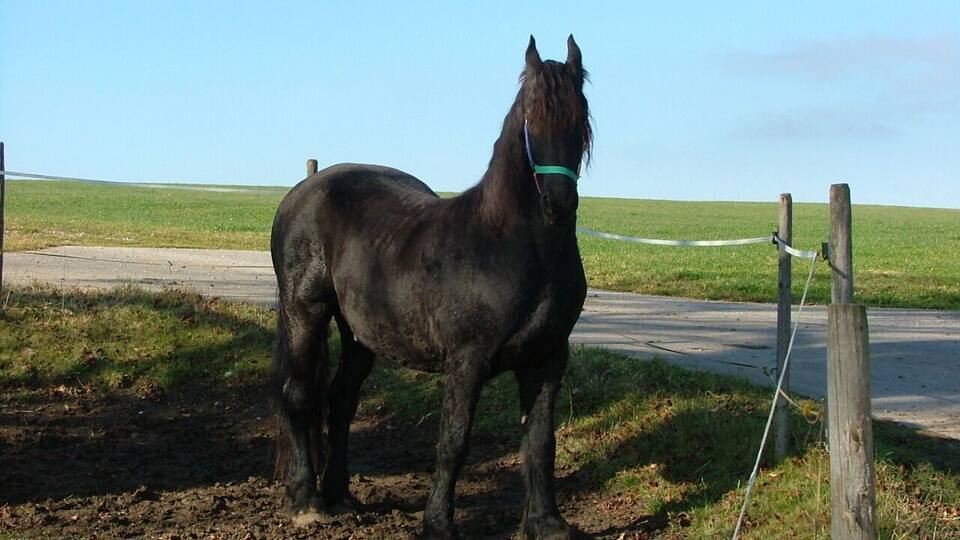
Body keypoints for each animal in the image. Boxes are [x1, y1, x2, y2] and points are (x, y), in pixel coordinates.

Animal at [270, 35, 592, 539]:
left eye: (580, 116)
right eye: (530, 116)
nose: (558, 204)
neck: (510, 245)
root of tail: (304, 190)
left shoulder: (547, 360)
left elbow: (541, 443)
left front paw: (546, 523)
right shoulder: (466, 362)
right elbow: (453, 441)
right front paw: (438, 523)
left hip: (360, 333)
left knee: (341, 400)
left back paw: (340, 495)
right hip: (305, 311)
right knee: (300, 394)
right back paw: (307, 500)